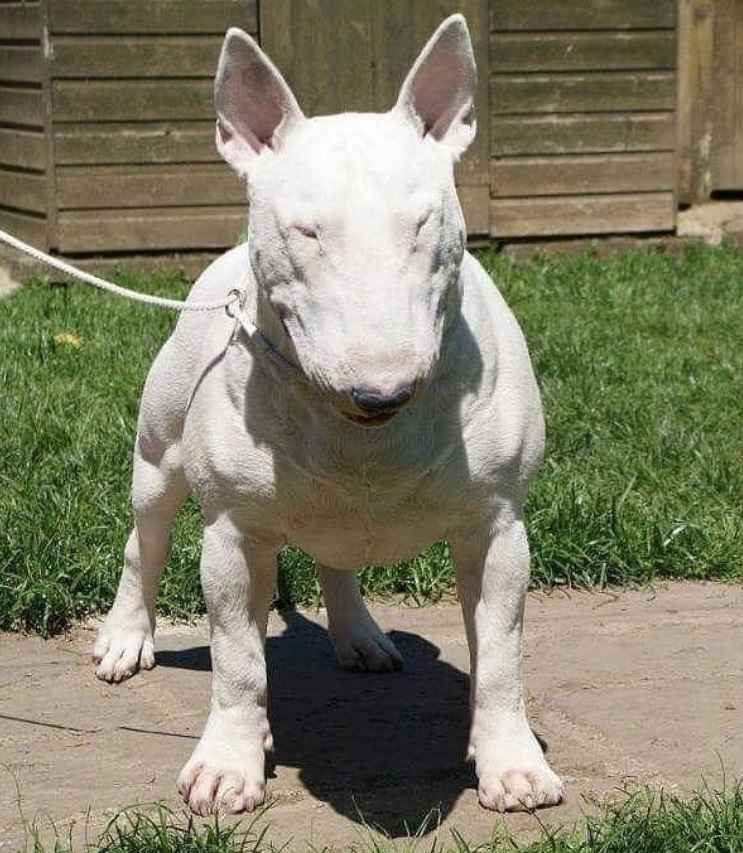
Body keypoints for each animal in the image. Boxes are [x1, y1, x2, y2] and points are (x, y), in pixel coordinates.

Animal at [94, 13, 564, 816]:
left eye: (421, 223)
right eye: (305, 231)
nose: (380, 392)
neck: (361, 435)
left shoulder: (498, 527)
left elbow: (501, 652)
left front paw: (512, 763)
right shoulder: (231, 534)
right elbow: (236, 659)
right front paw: (227, 764)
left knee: (334, 556)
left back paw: (360, 634)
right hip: (158, 459)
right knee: (143, 543)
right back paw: (128, 637)